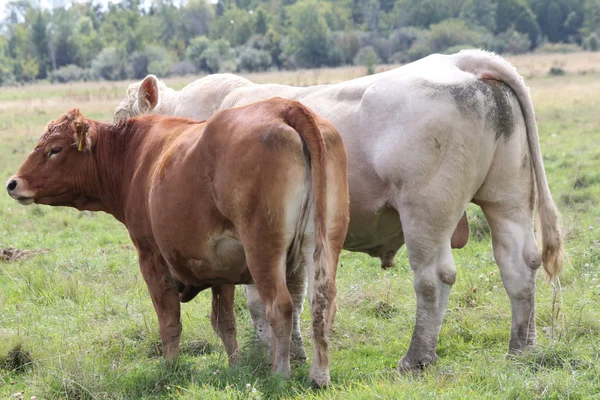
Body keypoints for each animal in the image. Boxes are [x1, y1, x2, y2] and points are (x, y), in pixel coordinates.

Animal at [7, 97, 350, 388]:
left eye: (54, 149)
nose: (13, 183)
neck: (134, 156)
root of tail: (284, 106)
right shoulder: (220, 267)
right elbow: (225, 323)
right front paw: (236, 366)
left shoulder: (151, 258)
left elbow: (169, 321)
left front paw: (170, 368)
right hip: (322, 245)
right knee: (321, 303)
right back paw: (319, 376)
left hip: (263, 251)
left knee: (280, 306)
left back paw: (280, 373)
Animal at [113, 50, 564, 372]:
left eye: (121, 122)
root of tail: (460, 62)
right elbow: (294, 295)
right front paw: (291, 352)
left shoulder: (250, 237)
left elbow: (260, 299)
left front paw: (266, 354)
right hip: (507, 199)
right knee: (518, 265)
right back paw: (522, 348)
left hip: (426, 210)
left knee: (433, 278)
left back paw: (416, 357)